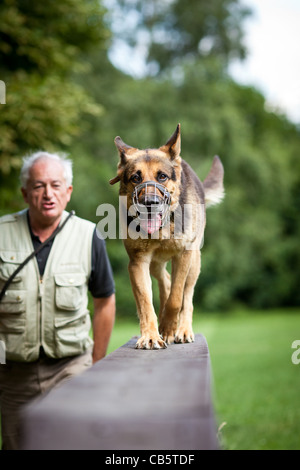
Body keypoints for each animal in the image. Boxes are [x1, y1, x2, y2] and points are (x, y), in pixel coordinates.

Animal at [109, 125, 223, 348]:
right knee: (165, 282)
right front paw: (151, 335)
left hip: (194, 262)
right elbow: (146, 302)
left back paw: (183, 329)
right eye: (136, 177)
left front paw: (170, 329)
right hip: (155, 264)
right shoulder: (138, 263)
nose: (150, 203)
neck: (163, 229)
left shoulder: (183, 256)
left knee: (186, 296)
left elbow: (176, 298)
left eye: (162, 176)